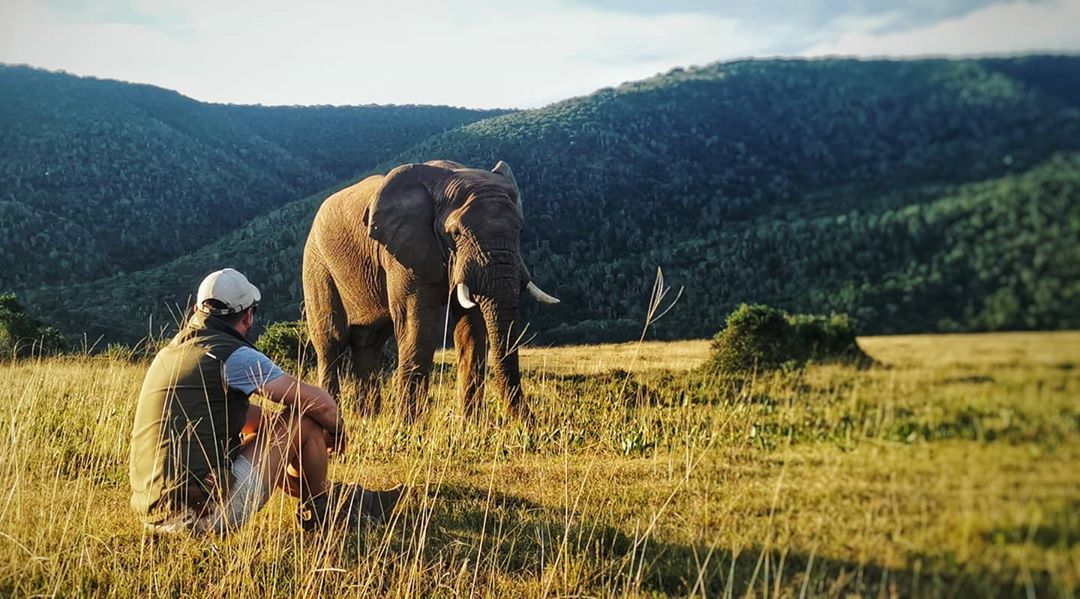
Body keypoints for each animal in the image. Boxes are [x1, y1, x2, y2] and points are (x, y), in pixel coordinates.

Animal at [302, 159, 561, 420]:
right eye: (455, 233)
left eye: (520, 230)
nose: (531, 422)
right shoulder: (404, 252)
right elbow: (419, 327)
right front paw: (407, 425)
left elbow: (471, 330)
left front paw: (471, 424)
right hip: (316, 265)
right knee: (331, 341)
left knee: (369, 343)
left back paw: (367, 418)